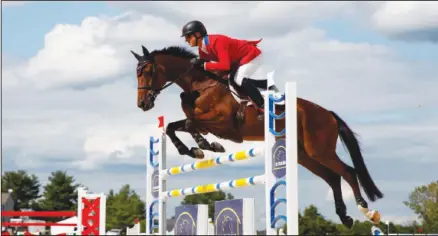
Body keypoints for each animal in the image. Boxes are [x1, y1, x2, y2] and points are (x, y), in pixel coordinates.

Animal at [131, 45, 384, 228]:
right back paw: (345, 217)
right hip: (304, 155)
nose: (142, 104)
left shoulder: (224, 124)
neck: (200, 85)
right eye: (136, 73)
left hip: (319, 149)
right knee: (332, 177)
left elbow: (191, 123)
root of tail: (327, 113)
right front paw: (196, 148)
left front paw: (204, 146)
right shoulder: (201, 121)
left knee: (348, 172)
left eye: (148, 71)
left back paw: (366, 211)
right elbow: (175, 126)